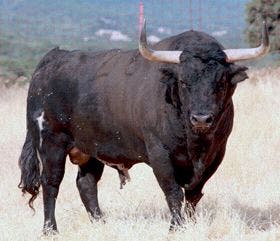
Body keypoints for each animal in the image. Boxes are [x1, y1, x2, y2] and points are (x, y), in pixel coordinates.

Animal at [18, 21, 270, 233]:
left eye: (221, 82)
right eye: (183, 82)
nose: (201, 119)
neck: (194, 143)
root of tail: (52, 58)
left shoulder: (217, 153)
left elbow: (194, 194)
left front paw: (190, 224)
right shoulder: (159, 153)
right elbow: (173, 192)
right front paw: (176, 228)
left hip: (90, 148)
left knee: (86, 184)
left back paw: (101, 224)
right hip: (51, 142)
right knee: (50, 183)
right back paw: (50, 230)